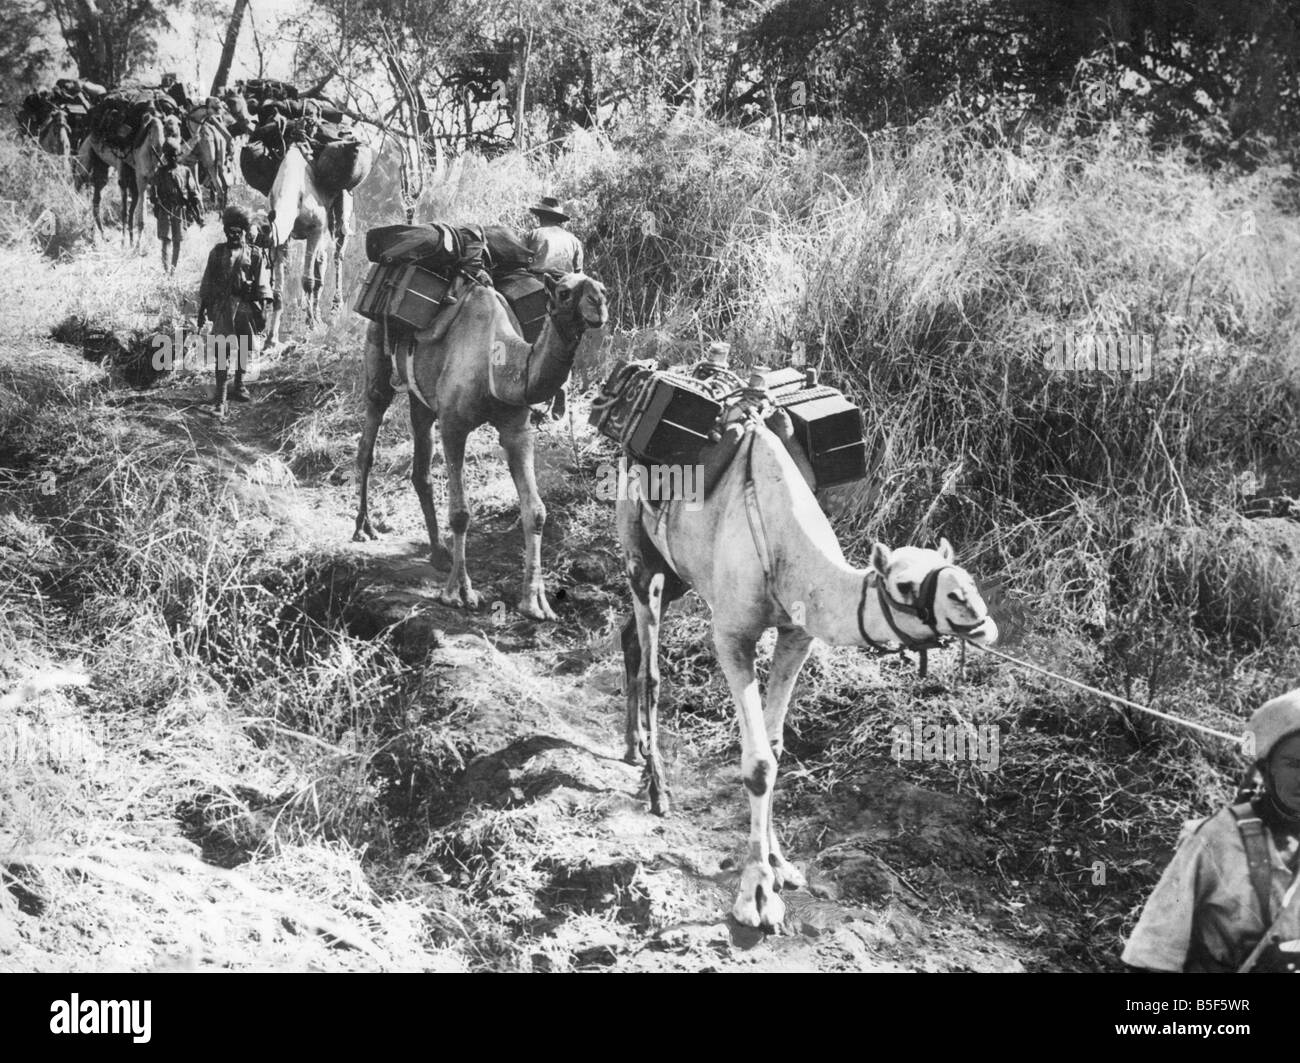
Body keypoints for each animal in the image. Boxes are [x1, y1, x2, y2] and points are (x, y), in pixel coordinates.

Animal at [351, 272, 603, 615]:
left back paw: (438, 553)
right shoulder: (454, 426)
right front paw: (459, 593)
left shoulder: (517, 429)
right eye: (564, 292)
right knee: (367, 445)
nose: (598, 305)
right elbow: (461, 513)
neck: (497, 365)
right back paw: (363, 528)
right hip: (377, 359)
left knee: (421, 468)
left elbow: (536, 511)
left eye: (602, 288)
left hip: (422, 400)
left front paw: (536, 603)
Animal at [613, 418, 998, 925]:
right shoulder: (731, 634)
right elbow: (758, 762)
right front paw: (756, 893)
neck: (783, 550)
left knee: (630, 639)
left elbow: (775, 748)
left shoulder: (797, 634)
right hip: (640, 555)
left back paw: (632, 749)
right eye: (904, 585)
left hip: (677, 573)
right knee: (651, 668)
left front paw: (781, 863)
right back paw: (657, 788)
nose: (980, 620)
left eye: (966, 579)